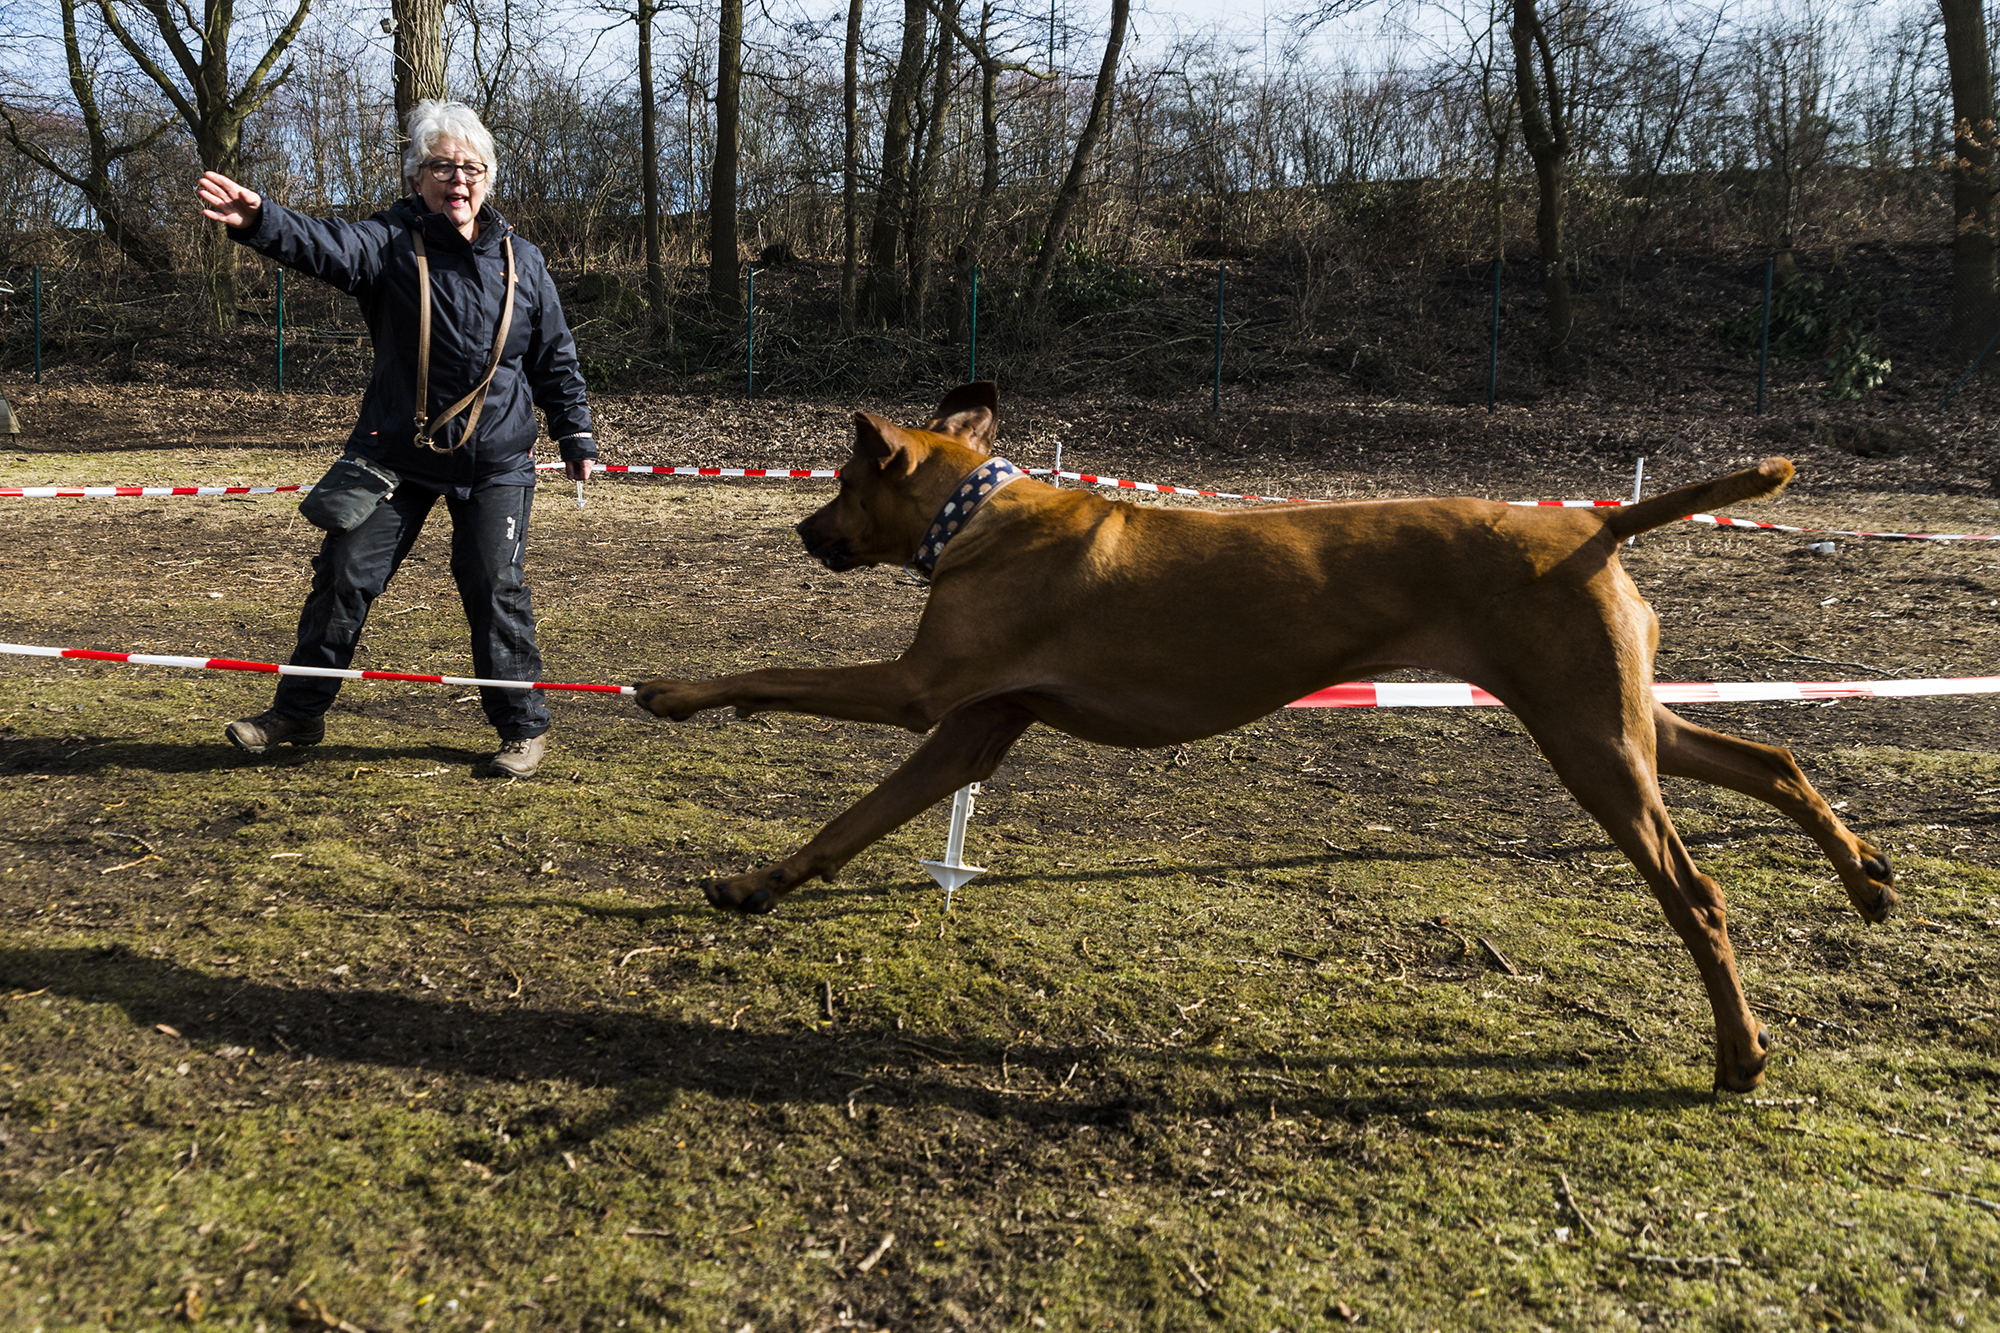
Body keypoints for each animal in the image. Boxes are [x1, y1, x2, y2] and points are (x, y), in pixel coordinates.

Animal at [640, 378, 1888, 1088]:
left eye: (842, 480)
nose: (803, 531)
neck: (976, 513)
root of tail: (1595, 523)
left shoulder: (920, 688)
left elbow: (782, 672)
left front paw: (679, 692)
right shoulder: (971, 728)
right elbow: (850, 821)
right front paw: (757, 883)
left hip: (1587, 744)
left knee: (1698, 893)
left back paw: (1739, 1052)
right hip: (1613, 717)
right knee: (1770, 755)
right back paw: (1863, 875)